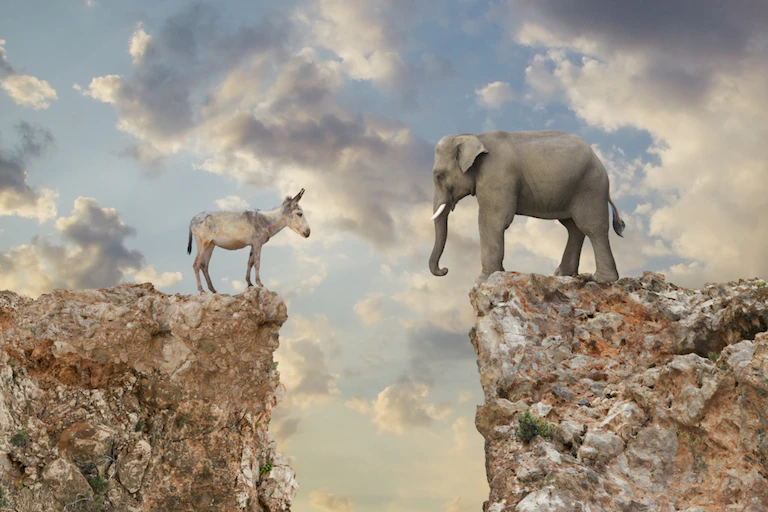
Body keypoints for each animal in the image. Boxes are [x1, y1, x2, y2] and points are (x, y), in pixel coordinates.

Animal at [428, 130, 625, 283]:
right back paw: (562, 275)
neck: (475, 137)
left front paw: (482, 281)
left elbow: (493, 221)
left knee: (592, 227)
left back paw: (601, 279)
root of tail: (598, 160)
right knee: (573, 227)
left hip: (590, 187)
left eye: (439, 176)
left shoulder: (497, 176)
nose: (444, 270)